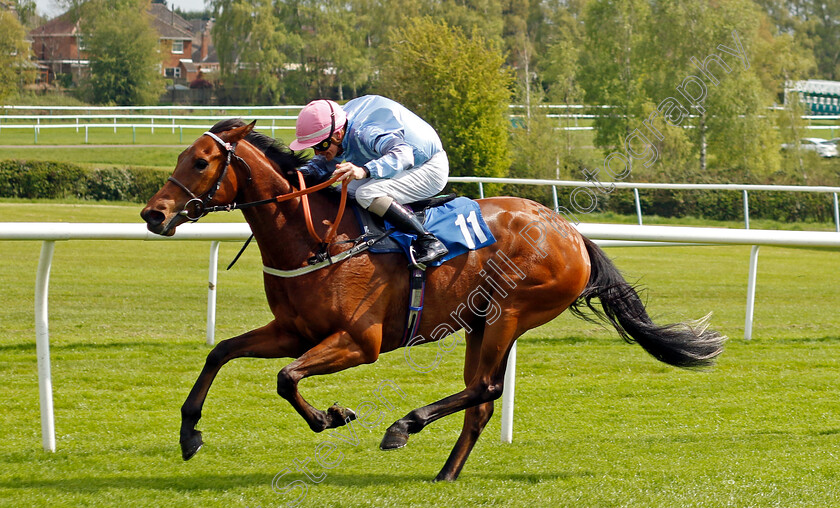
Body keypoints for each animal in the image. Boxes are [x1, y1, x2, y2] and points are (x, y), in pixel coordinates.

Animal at [141, 119, 724, 480]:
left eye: (201, 162)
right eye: (181, 155)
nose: (153, 214)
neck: (316, 236)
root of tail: (572, 233)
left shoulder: (359, 341)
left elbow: (286, 379)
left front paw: (332, 416)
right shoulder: (294, 331)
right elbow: (222, 353)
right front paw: (190, 434)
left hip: (510, 313)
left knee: (485, 388)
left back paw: (404, 426)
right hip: (479, 323)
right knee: (482, 400)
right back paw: (446, 472)